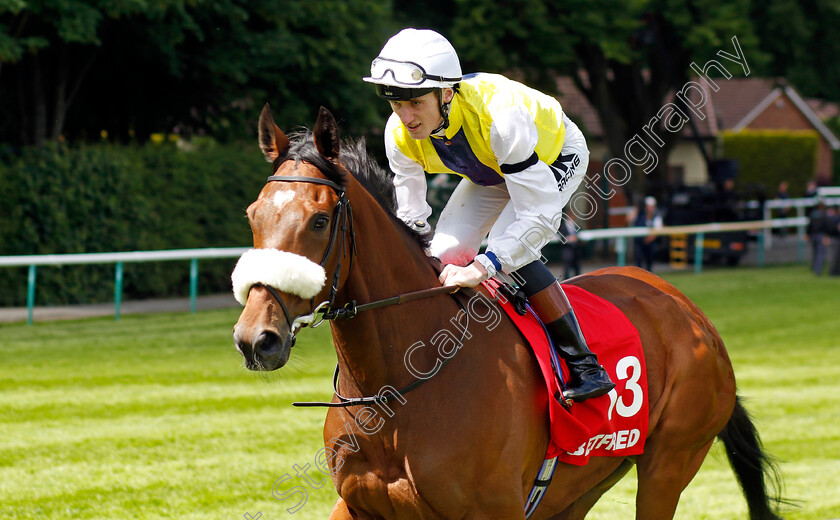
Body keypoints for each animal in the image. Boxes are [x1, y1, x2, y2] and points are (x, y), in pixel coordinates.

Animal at [231, 106, 780, 520]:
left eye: (320, 220)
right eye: (253, 215)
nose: (256, 339)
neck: (398, 387)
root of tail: (689, 311)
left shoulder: (494, 509)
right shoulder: (357, 505)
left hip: (670, 462)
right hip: (580, 487)